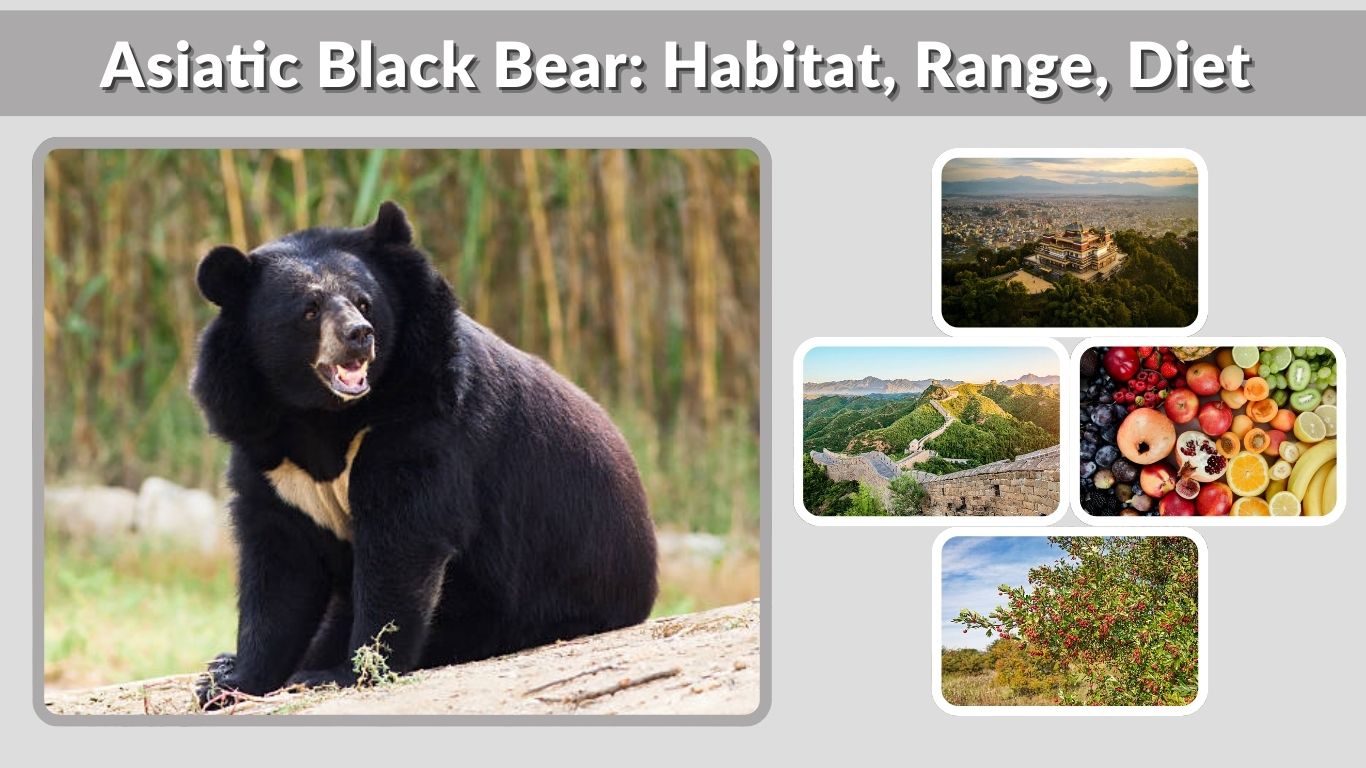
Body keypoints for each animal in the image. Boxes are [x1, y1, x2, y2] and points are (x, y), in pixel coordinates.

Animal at [190, 201, 658, 707]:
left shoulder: (422, 423)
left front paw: (342, 672)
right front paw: (231, 681)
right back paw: (221, 662)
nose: (359, 335)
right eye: (309, 310)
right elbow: (280, 566)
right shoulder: (268, 453)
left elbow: (402, 542)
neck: (322, 416)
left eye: (364, 302)